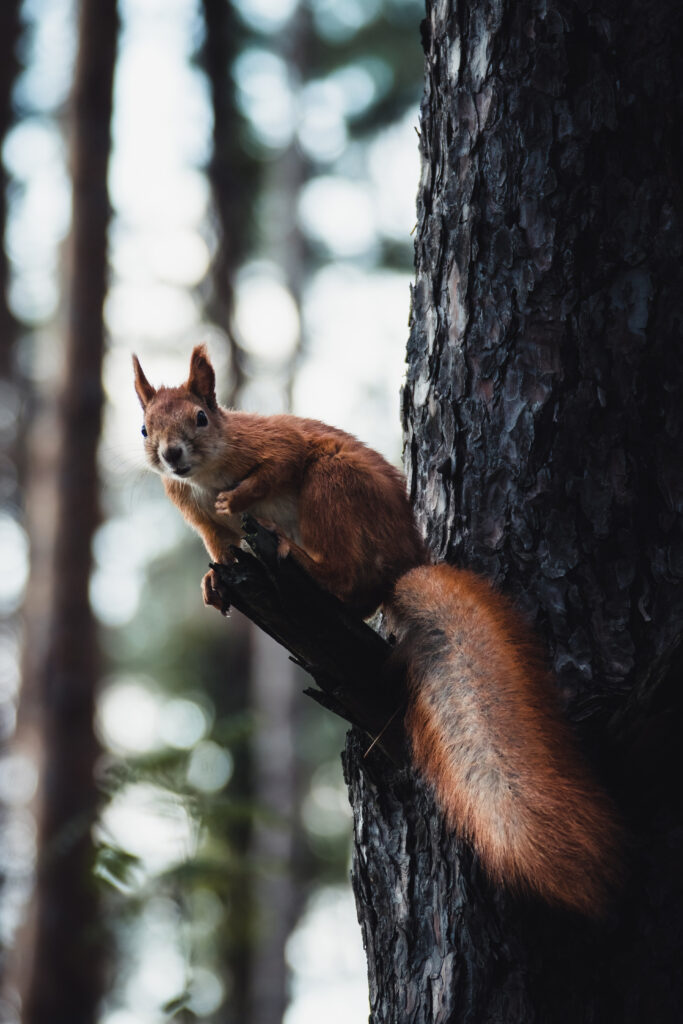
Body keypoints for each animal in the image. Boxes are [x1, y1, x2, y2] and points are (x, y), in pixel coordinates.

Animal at [133, 344, 621, 916]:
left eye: (201, 417)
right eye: (144, 428)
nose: (171, 455)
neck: (205, 475)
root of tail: (405, 564)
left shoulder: (273, 442)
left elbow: (278, 464)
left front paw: (240, 498)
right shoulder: (200, 519)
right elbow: (219, 547)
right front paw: (214, 581)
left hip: (334, 483)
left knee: (349, 580)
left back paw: (302, 558)